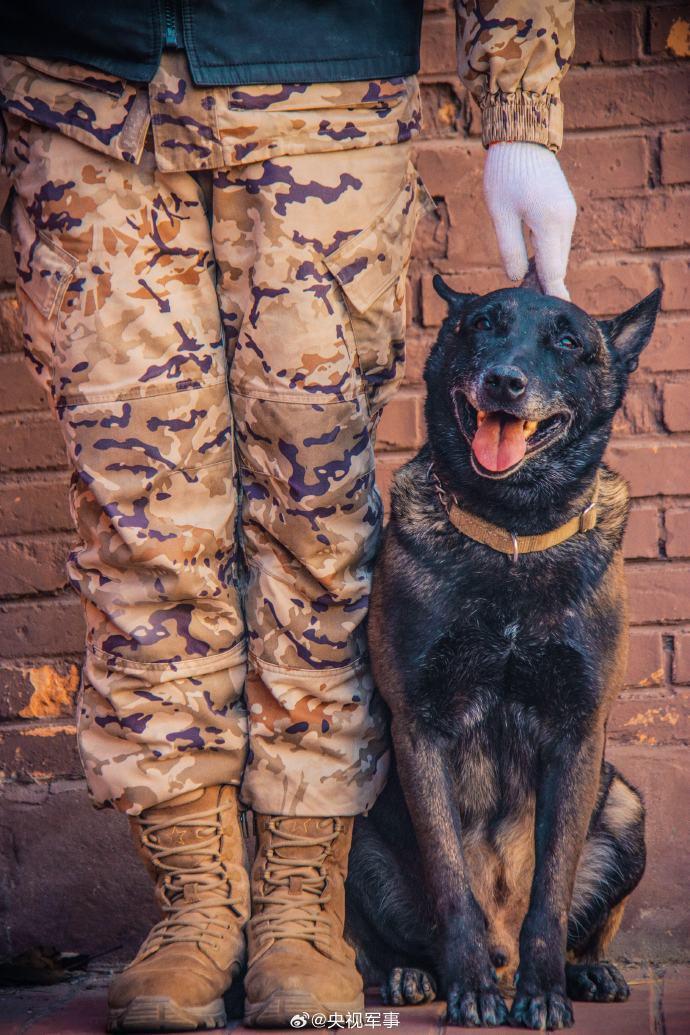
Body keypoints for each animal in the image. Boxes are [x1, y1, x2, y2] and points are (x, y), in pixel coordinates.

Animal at [347, 275, 662, 1026]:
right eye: (482, 324)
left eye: (568, 341)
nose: (504, 382)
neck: (512, 528)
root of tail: (503, 949)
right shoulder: (421, 730)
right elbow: (449, 880)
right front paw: (470, 990)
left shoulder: (578, 734)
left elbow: (552, 890)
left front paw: (543, 992)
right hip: (360, 826)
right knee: (393, 941)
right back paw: (412, 974)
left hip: (626, 806)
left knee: (582, 920)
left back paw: (586, 971)